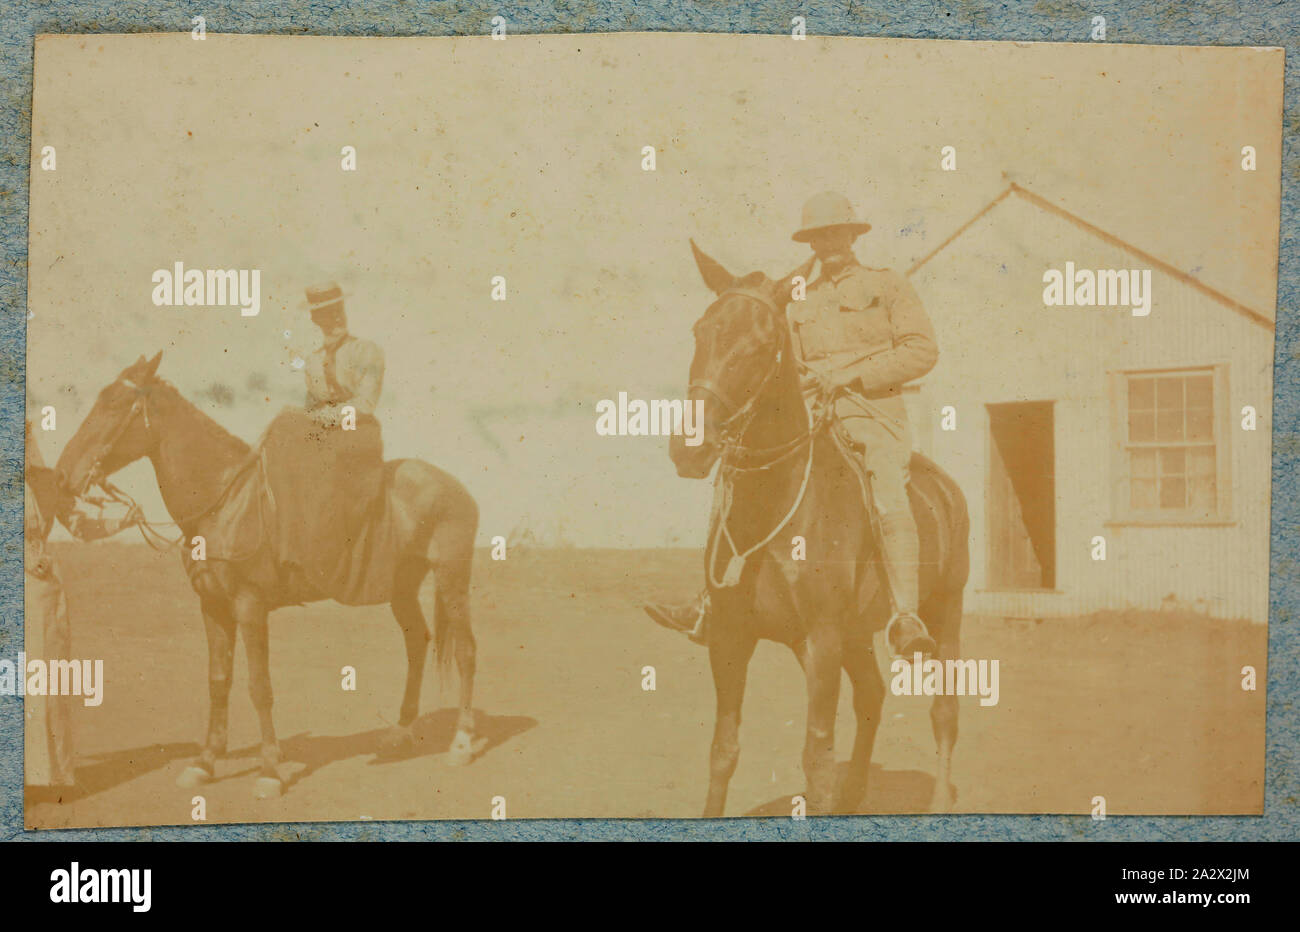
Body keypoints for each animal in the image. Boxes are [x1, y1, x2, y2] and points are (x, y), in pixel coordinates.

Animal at [57, 353, 483, 795]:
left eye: (112, 406)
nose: (62, 475)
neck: (224, 503)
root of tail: (456, 488)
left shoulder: (250, 606)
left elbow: (259, 687)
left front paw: (269, 771)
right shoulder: (212, 606)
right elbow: (218, 681)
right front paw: (205, 763)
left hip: (452, 577)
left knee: (466, 652)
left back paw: (461, 742)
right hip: (403, 586)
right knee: (416, 644)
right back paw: (401, 731)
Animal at [676, 245, 972, 816]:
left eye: (761, 345)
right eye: (702, 332)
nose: (690, 448)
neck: (772, 509)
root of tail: (944, 486)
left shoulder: (822, 641)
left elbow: (815, 759)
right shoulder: (731, 637)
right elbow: (724, 750)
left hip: (944, 611)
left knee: (945, 712)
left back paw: (940, 802)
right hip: (856, 634)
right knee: (873, 696)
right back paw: (854, 795)